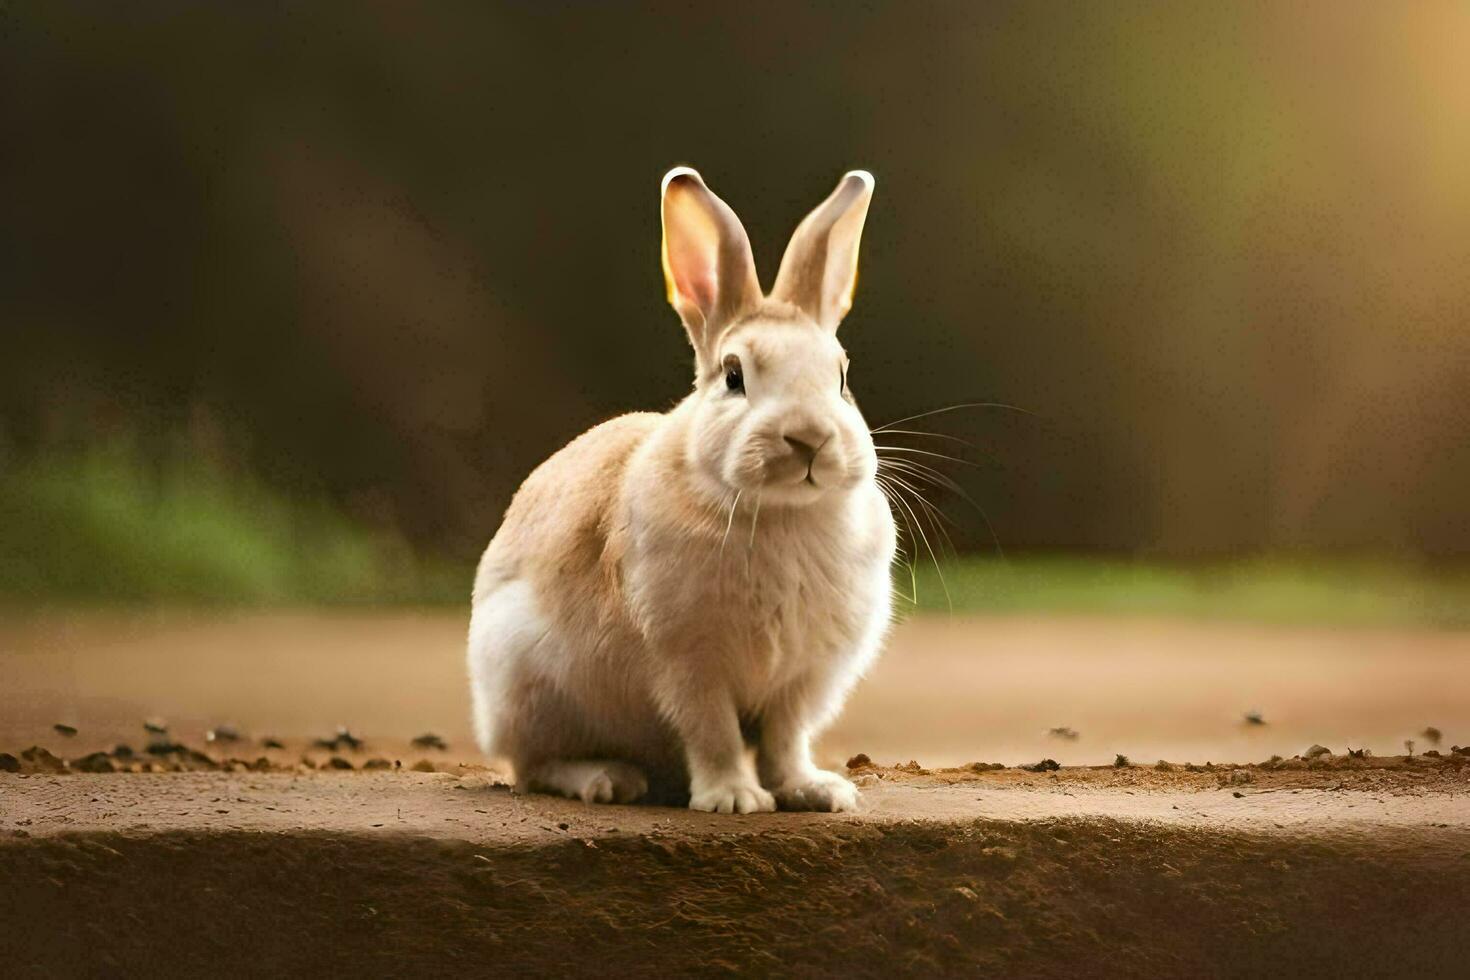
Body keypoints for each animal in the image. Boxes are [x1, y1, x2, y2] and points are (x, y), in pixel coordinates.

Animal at [464, 166, 893, 811]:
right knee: (533, 766)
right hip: (527, 687)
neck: (782, 512)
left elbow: (785, 740)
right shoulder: (689, 663)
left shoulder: (800, 679)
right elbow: (713, 732)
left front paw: (815, 791)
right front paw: (735, 799)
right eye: (734, 376)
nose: (809, 439)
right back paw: (607, 780)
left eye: (841, 377)